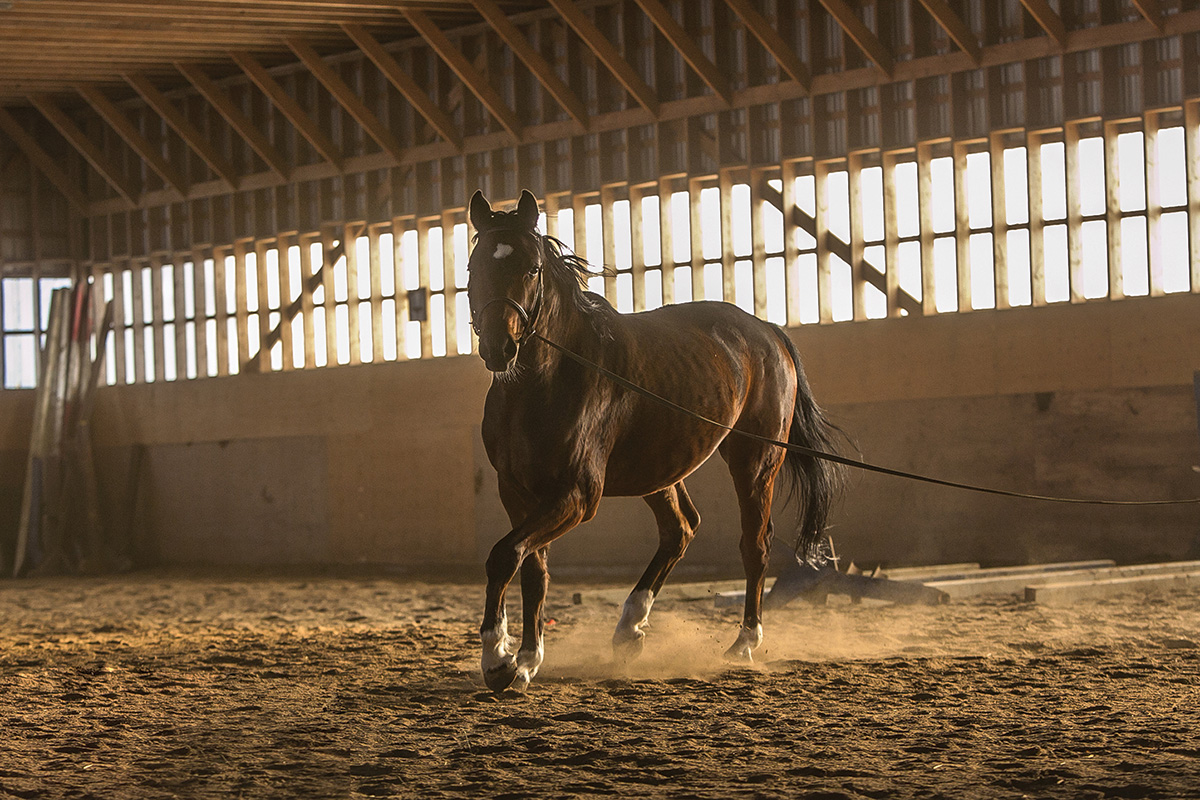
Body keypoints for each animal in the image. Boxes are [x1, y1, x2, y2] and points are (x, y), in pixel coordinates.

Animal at [468, 190, 844, 690]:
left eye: (532, 268)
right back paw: (629, 629)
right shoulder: (517, 492)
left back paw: (743, 643)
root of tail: (768, 332)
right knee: (680, 529)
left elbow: (503, 555)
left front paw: (498, 659)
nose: (499, 347)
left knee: (755, 545)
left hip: (754, 461)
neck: (543, 384)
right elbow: (531, 568)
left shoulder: (577, 495)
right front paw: (525, 659)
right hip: (661, 470)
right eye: (474, 267)